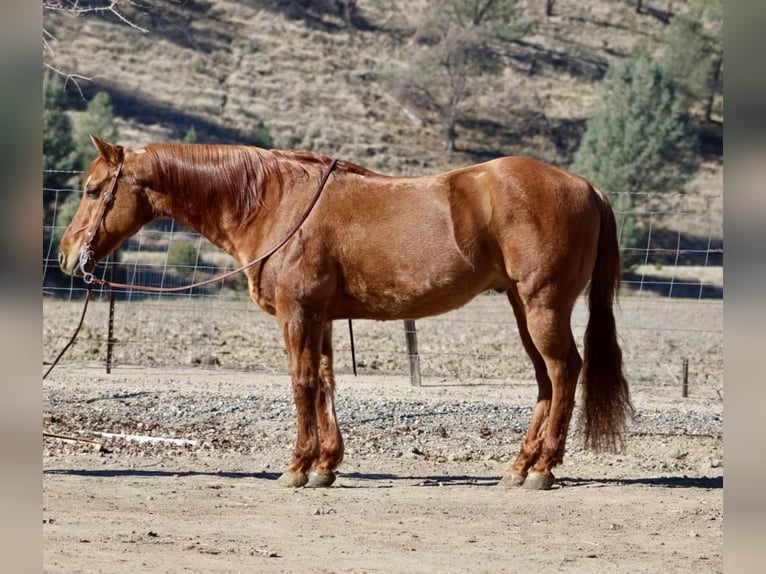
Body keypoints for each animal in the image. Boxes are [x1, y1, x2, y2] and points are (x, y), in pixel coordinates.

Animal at [58, 135, 633, 490]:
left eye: (92, 189)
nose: (67, 255)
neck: (274, 202)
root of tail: (585, 186)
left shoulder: (296, 314)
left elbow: (302, 384)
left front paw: (296, 467)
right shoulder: (322, 318)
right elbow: (327, 383)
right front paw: (326, 465)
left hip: (543, 307)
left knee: (564, 372)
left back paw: (542, 469)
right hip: (522, 308)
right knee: (545, 381)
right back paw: (519, 466)